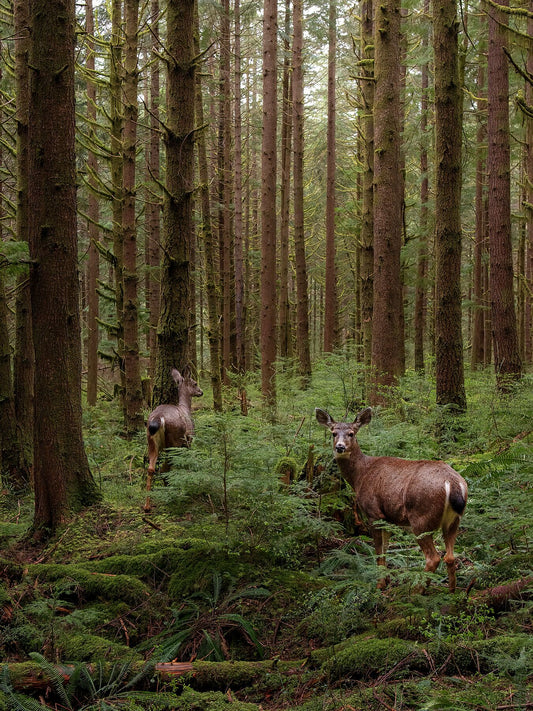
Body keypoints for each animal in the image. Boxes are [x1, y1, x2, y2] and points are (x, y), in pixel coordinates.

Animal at [144, 366, 203, 512]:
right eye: (195, 383)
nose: (201, 392)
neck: (185, 407)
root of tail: (158, 418)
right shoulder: (189, 439)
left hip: (151, 441)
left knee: (151, 468)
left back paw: (147, 506)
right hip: (174, 440)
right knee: (165, 467)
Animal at [315, 407, 468, 592]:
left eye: (351, 433)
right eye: (333, 433)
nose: (340, 447)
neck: (360, 475)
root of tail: (453, 483)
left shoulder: (373, 512)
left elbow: (379, 550)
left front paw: (380, 584)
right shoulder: (387, 518)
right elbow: (386, 548)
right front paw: (386, 580)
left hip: (420, 516)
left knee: (434, 558)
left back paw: (416, 590)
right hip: (454, 520)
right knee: (450, 556)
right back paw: (451, 591)